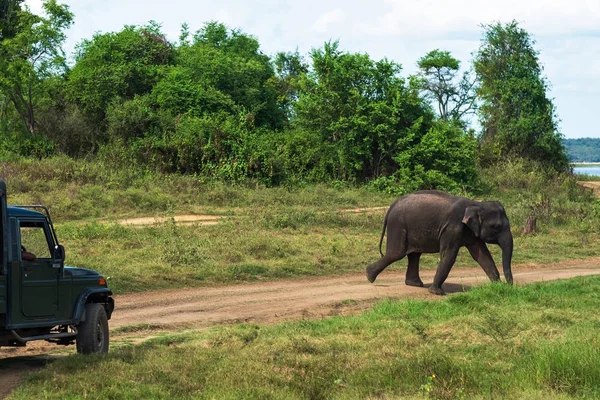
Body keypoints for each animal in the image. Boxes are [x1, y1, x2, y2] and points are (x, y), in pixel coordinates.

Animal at [364, 189, 512, 296]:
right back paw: (369, 275)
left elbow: (482, 255)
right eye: (496, 227)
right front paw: (437, 293)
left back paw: (415, 284)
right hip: (398, 225)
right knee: (396, 253)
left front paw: (497, 286)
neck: (476, 204)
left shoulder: (472, 232)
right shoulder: (452, 228)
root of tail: (392, 206)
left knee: (414, 254)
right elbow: (449, 255)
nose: (510, 286)